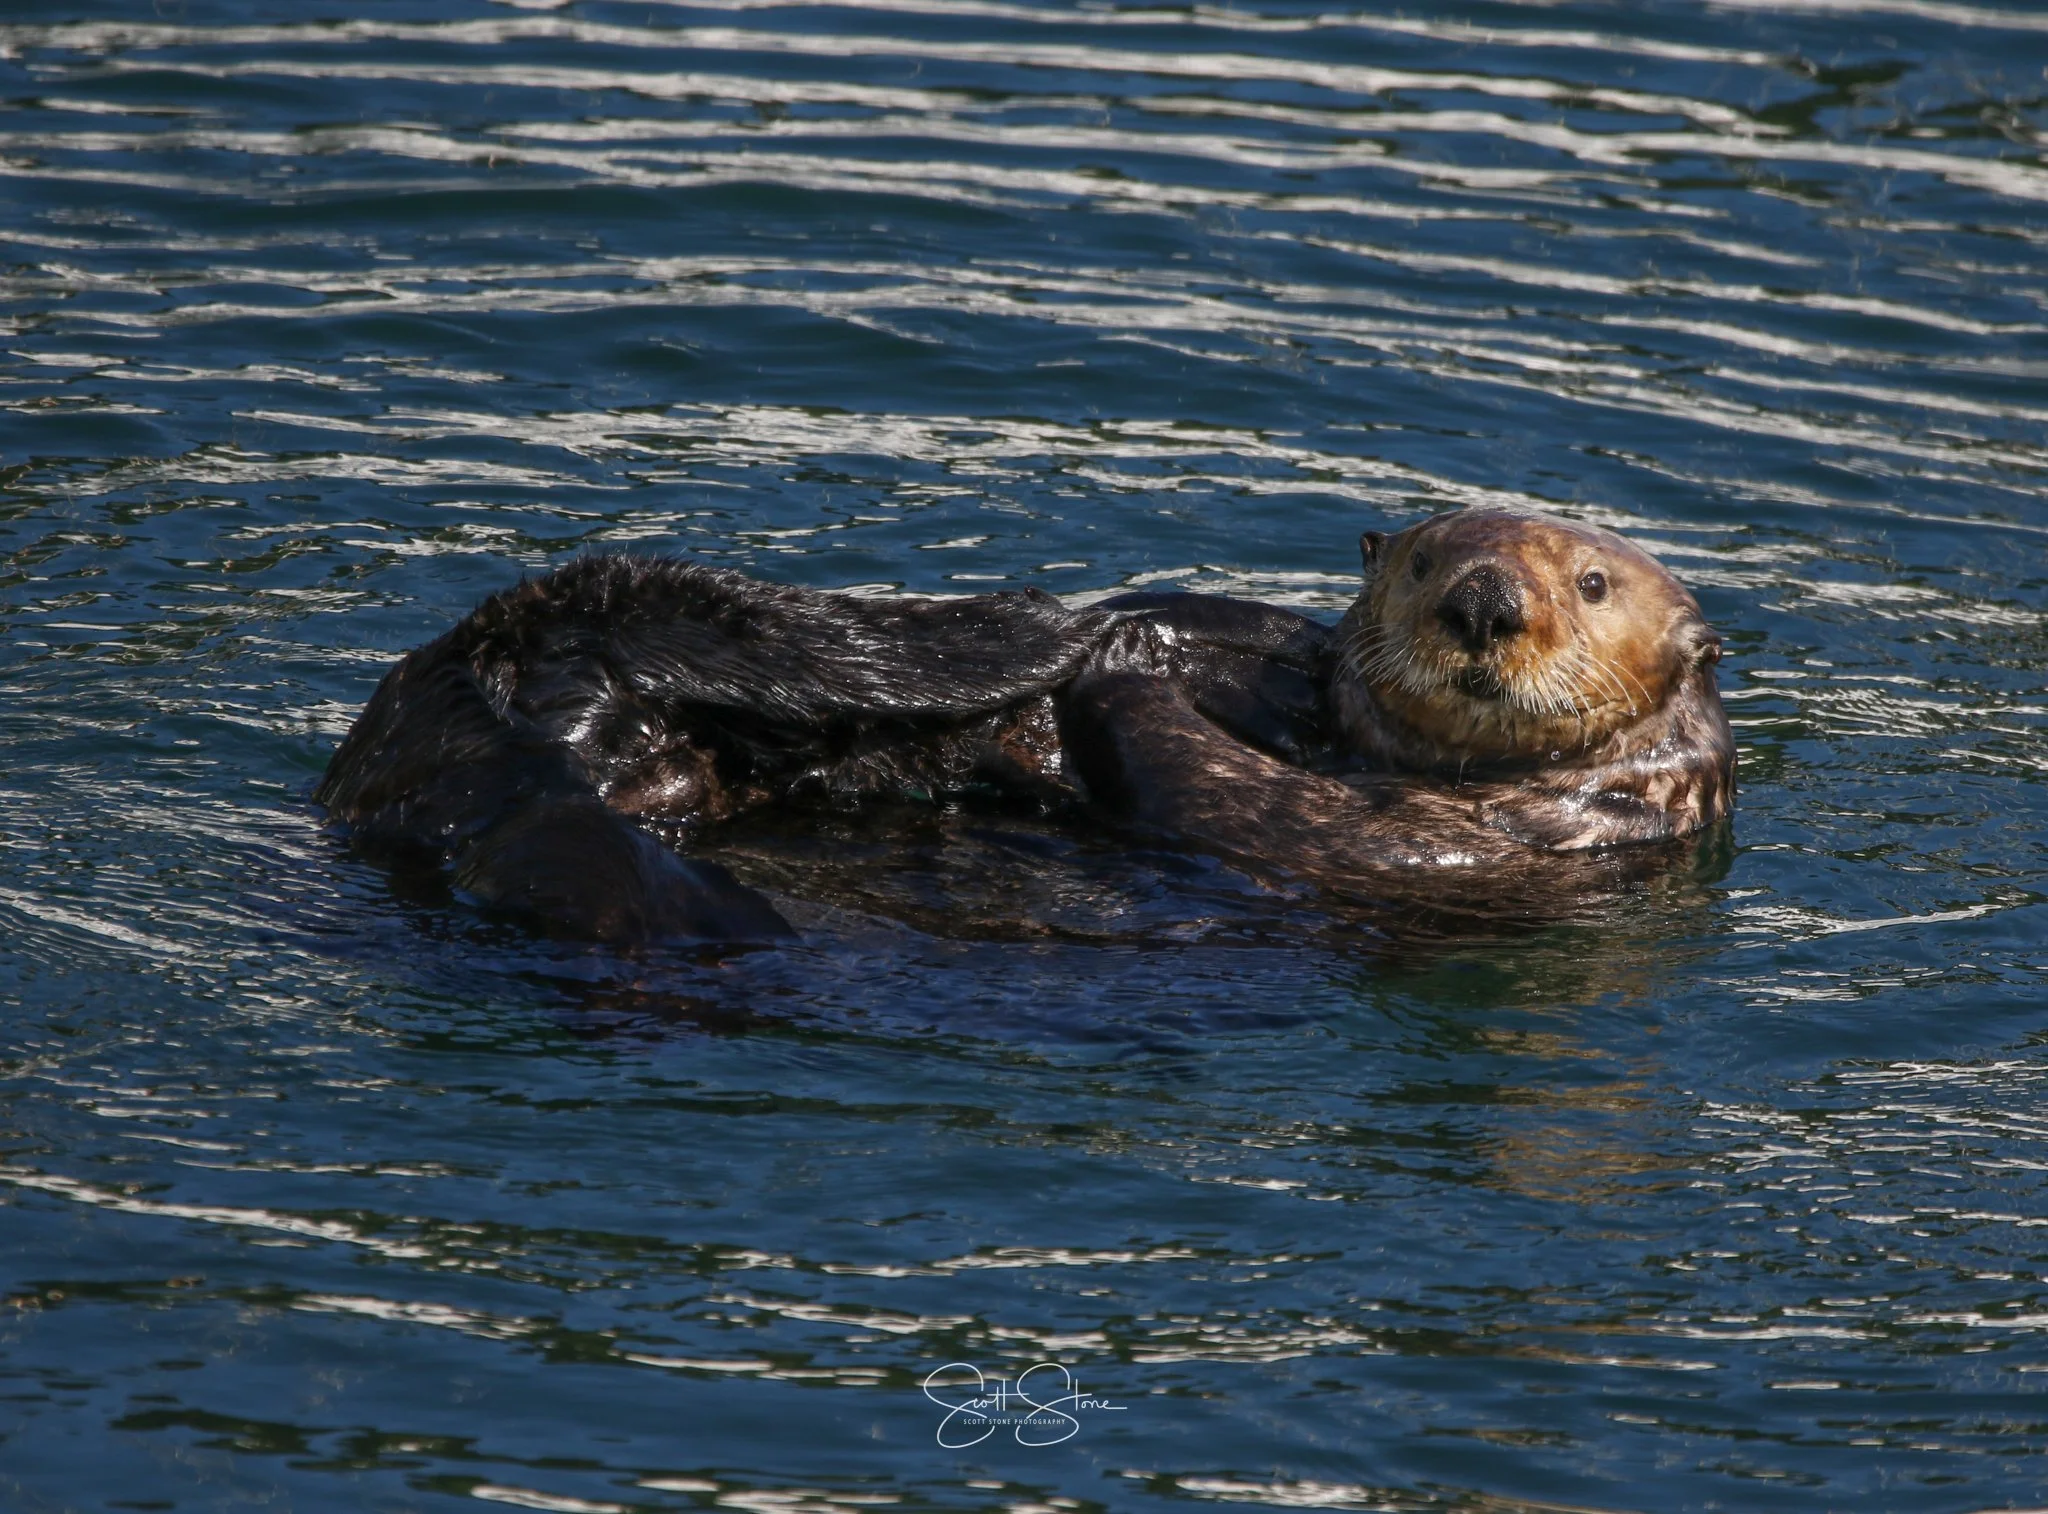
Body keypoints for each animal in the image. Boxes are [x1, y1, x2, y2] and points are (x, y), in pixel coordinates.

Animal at [316, 508, 1733, 943]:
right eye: (1428, 556)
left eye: (1590, 582)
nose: (1484, 601)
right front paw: (1151, 631)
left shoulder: (1515, 837)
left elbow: (1237, 800)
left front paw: (1124, 655)